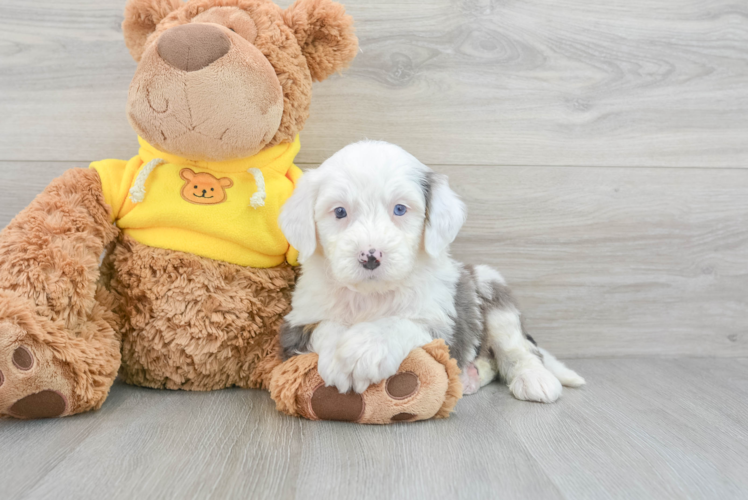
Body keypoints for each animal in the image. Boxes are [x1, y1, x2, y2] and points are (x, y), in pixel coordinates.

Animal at [276, 141, 584, 402]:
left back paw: (535, 379)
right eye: (339, 212)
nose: (370, 257)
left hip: (493, 292)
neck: (372, 295)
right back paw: (471, 377)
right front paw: (339, 355)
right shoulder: (296, 325)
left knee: (518, 348)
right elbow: (326, 326)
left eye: (400, 209)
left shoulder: (443, 325)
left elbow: (401, 323)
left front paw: (362, 352)